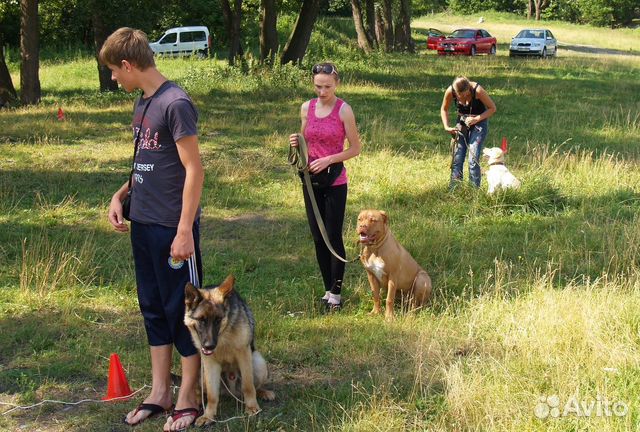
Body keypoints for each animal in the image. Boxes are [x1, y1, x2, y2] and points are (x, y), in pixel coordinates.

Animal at [185, 276, 276, 424]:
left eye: (218, 320)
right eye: (201, 320)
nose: (209, 346)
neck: (223, 335)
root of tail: (232, 392)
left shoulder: (244, 355)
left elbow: (248, 386)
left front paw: (251, 408)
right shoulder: (210, 363)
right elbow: (212, 395)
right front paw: (208, 416)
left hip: (258, 362)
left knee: (253, 387)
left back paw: (263, 393)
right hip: (201, 372)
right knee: (204, 391)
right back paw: (197, 401)